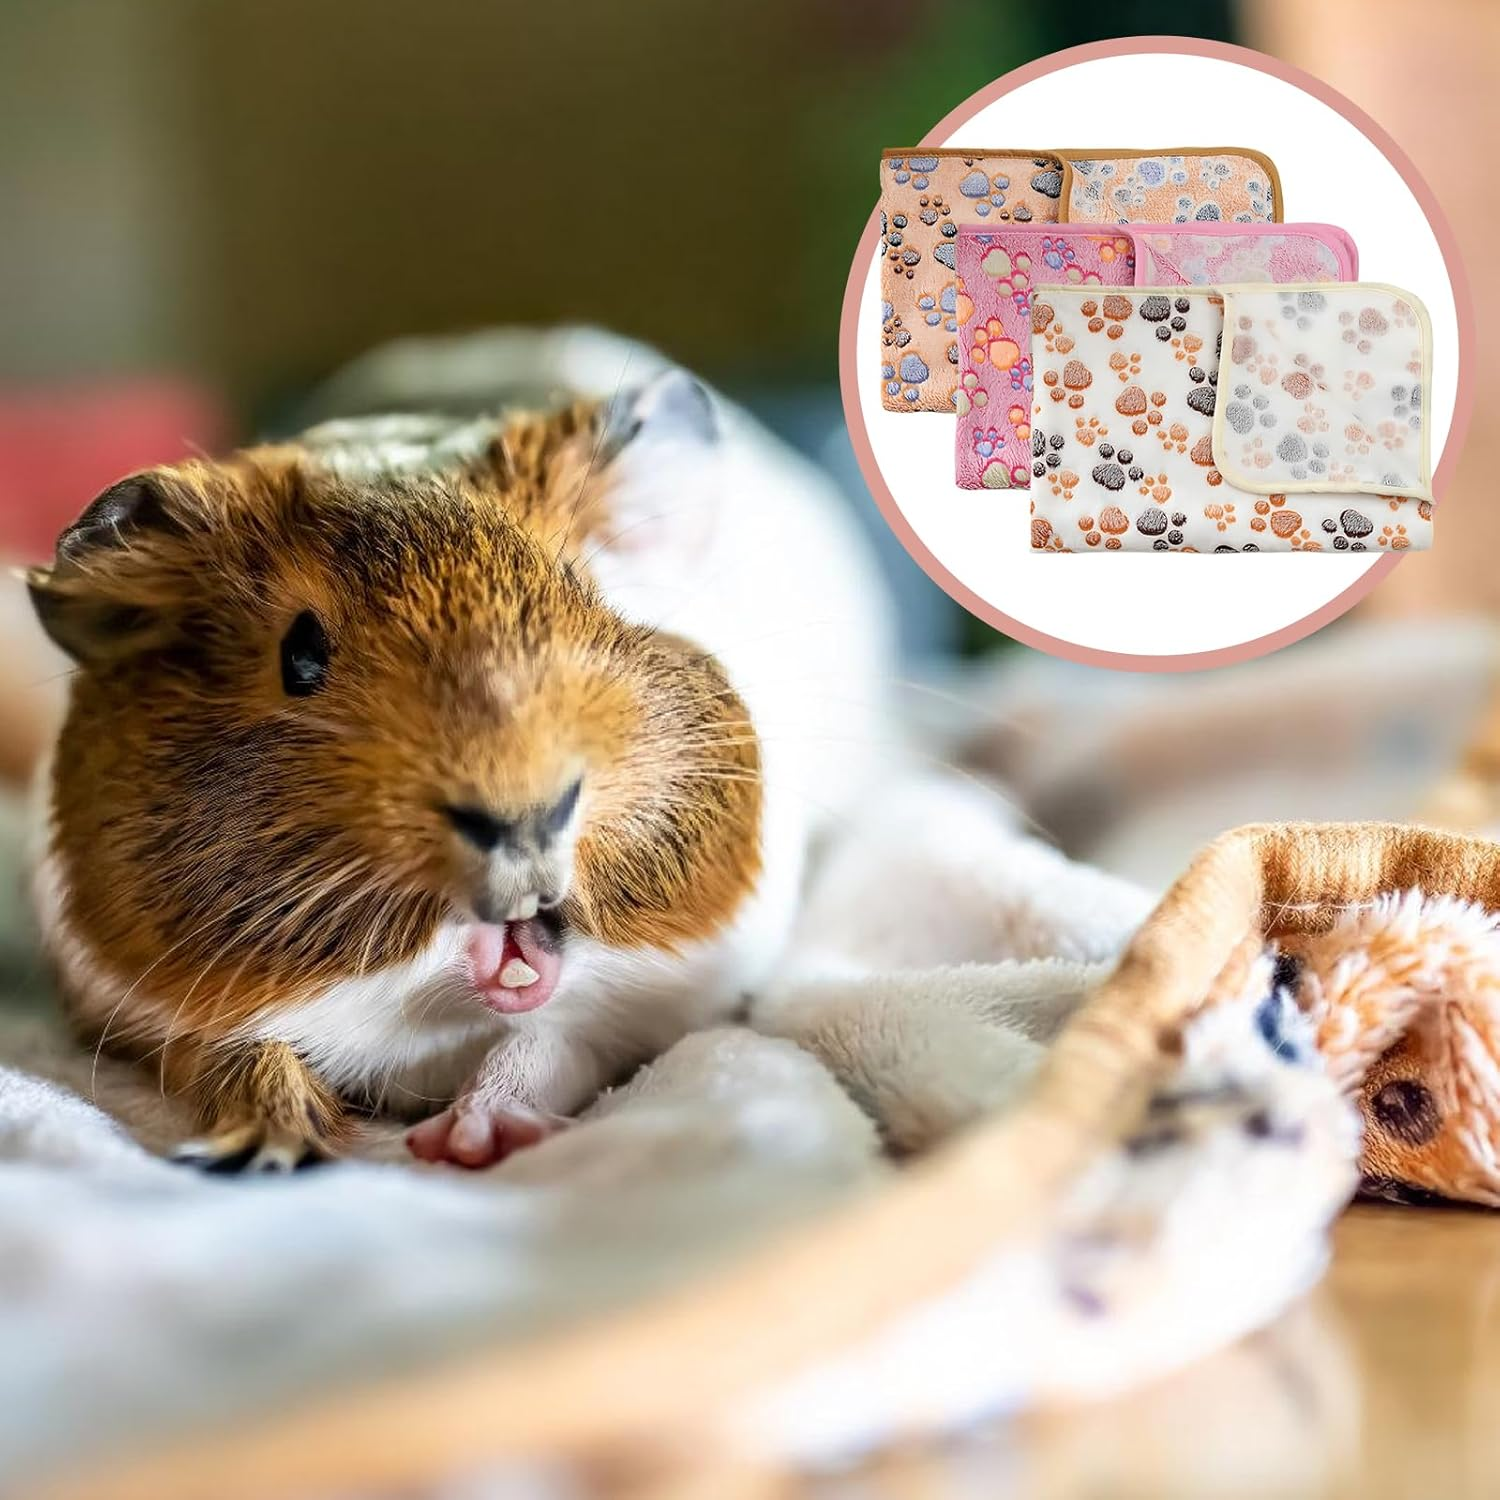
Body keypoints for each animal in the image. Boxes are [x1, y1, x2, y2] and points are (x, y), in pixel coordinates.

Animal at [25, 352, 897, 1171]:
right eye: (299, 655)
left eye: (587, 591)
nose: (526, 816)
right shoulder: (172, 1026)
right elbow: (254, 1064)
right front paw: (257, 1154)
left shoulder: (635, 1017)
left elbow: (537, 1050)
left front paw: (468, 1142)